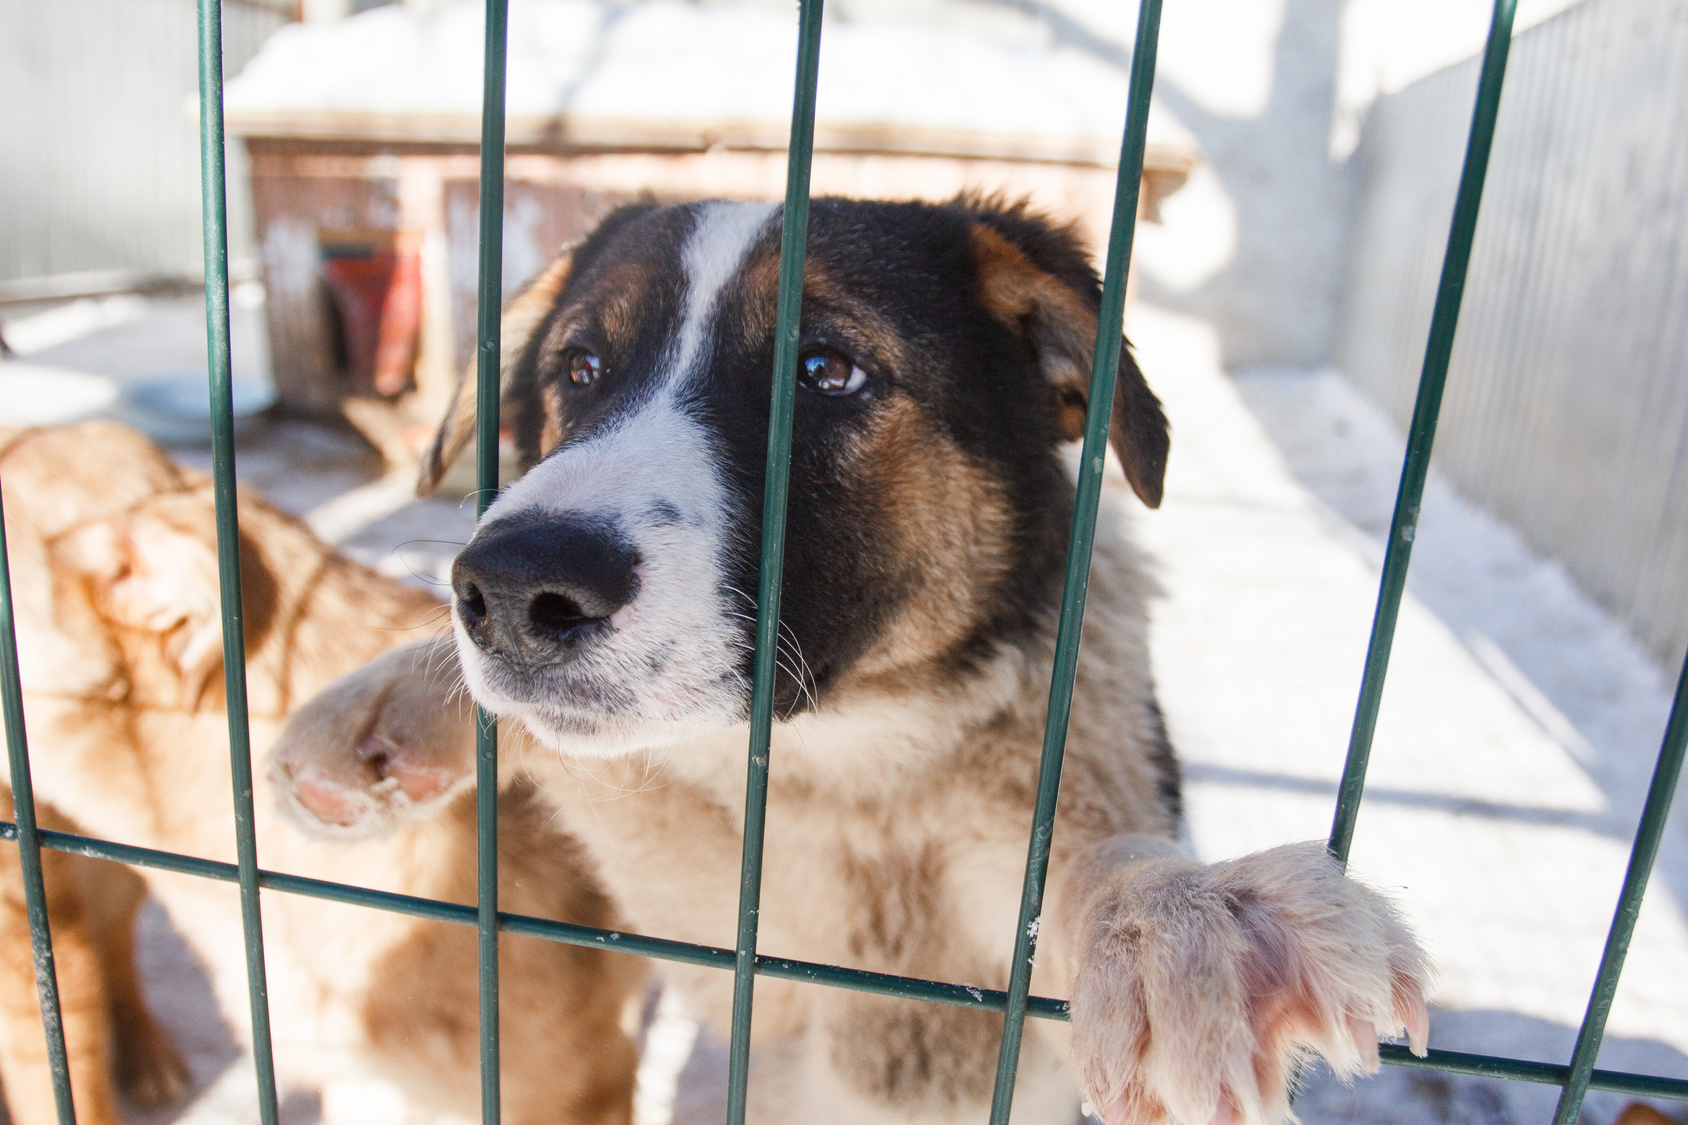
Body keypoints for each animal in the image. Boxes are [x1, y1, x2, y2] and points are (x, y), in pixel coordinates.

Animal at [283, 199, 1431, 1121]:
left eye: (827, 370)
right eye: (581, 369)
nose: (514, 592)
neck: (860, 769)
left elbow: (1092, 858)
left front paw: (1181, 927)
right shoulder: (750, 961)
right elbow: (594, 767)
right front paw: (386, 706)